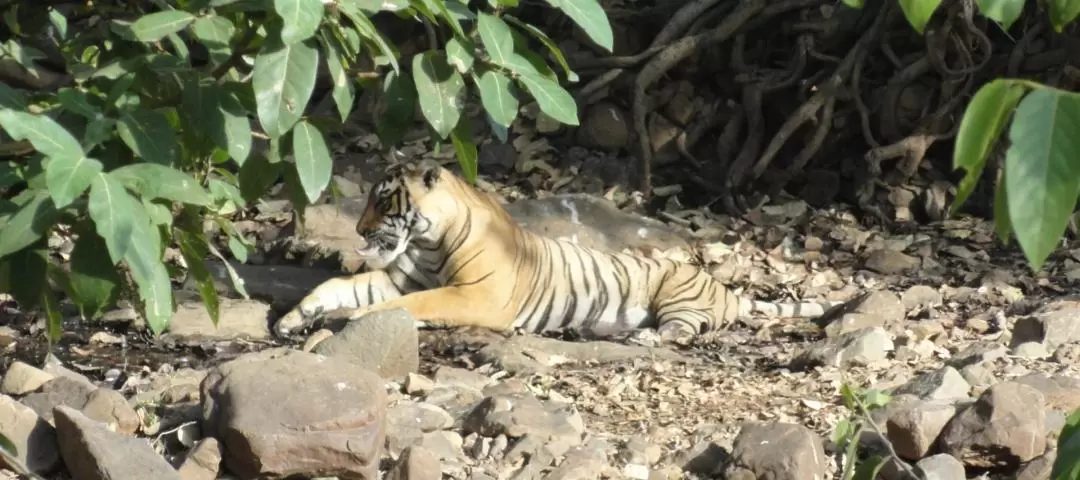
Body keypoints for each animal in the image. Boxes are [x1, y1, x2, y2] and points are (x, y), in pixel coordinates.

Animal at [274, 162, 846, 345]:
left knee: (680, 333)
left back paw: (643, 337)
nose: (358, 228)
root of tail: (725, 288)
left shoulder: (476, 296)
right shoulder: (400, 278)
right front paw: (294, 318)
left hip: (679, 294)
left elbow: (408, 305)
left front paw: (352, 319)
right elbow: (335, 286)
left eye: (383, 200)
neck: (428, 241)